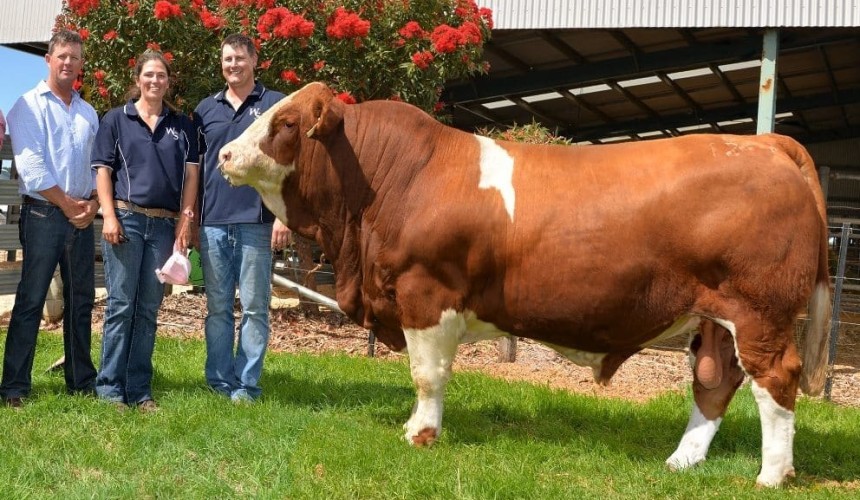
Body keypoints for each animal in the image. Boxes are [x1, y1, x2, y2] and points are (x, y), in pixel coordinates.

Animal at [217, 82, 830, 487]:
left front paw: (421, 434)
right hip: (716, 317)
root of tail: (765, 143)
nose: (223, 152)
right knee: (715, 381)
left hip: (759, 312)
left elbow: (427, 375)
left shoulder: (425, 296)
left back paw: (772, 475)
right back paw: (684, 461)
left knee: (776, 380)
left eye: (285, 124)